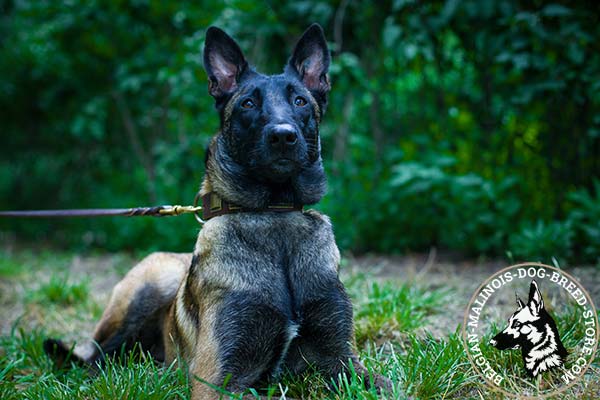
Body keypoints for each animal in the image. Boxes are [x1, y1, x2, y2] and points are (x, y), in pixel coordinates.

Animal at [45, 23, 394, 398]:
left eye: (300, 101)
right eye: (248, 103)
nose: (283, 137)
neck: (274, 213)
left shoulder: (342, 360)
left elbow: (382, 383)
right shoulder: (217, 378)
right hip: (147, 287)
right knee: (96, 357)